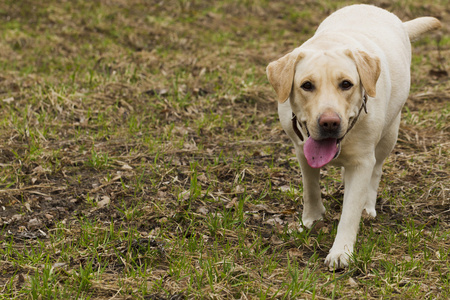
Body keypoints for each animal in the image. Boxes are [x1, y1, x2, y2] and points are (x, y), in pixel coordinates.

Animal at [268, 4, 440, 270]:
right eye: (306, 85)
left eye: (346, 84)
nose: (329, 122)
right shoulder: (301, 149)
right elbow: (310, 188)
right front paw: (311, 220)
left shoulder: (362, 162)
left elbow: (350, 211)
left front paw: (341, 252)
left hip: (390, 133)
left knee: (376, 170)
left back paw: (367, 205)